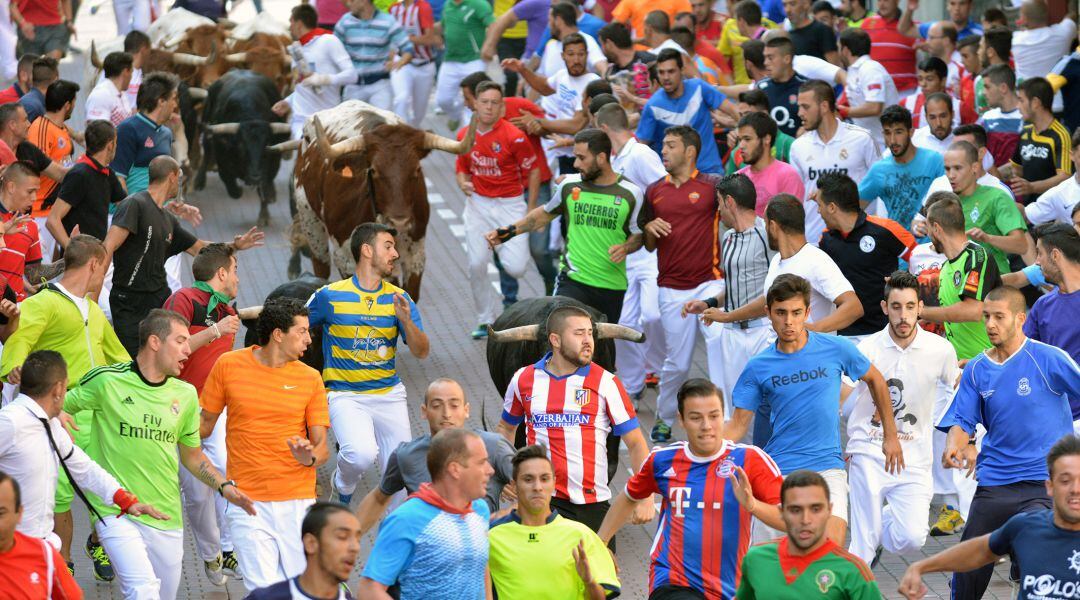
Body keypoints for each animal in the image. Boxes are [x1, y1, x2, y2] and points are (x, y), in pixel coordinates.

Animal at [295, 101, 481, 304]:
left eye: (417, 170)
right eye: (374, 170)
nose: (399, 221)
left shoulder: (415, 256)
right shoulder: (345, 258)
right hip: (309, 218)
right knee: (320, 263)